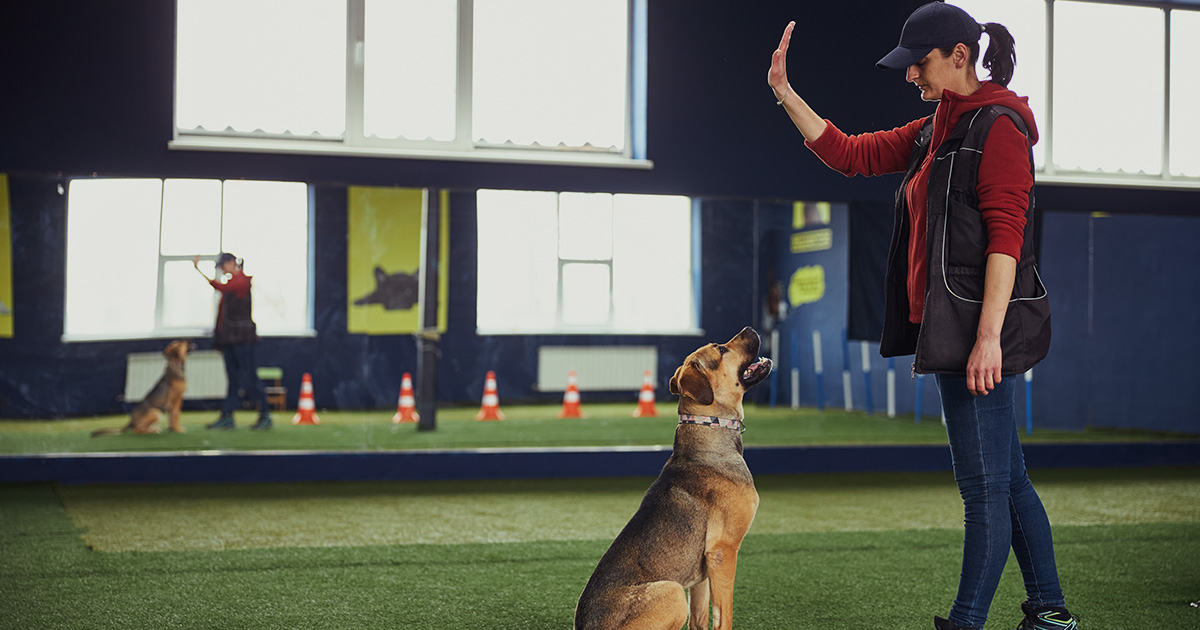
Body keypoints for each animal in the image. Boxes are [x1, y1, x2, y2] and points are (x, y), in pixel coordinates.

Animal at [573, 326, 777, 624]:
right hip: (673, 592)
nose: (750, 328)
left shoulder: (702, 576)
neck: (710, 429)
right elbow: (724, 617)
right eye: (721, 349)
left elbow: (700, 619)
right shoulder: (723, 552)